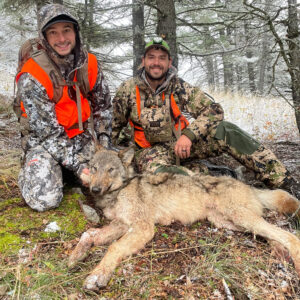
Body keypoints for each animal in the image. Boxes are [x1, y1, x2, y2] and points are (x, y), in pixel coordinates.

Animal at [69, 145, 300, 290]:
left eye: (110, 170)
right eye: (94, 168)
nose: (95, 189)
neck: (118, 192)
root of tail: (247, 185)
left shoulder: (143, 227)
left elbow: (113, 248)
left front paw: (96, 276)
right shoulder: (121, 224)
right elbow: (89, 233)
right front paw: (75, 256)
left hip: (240, 218)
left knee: (289, 236)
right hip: (229, 222)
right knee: (271, 235)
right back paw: (279, 253)